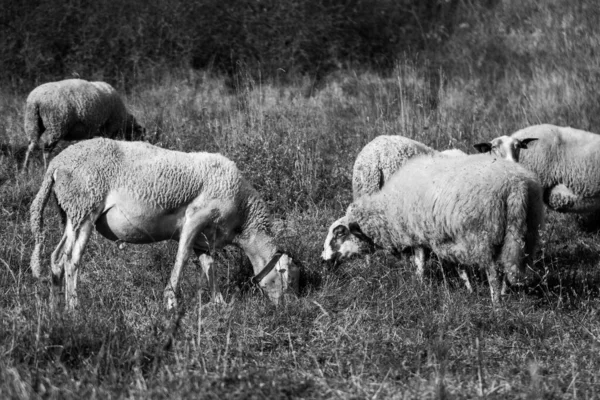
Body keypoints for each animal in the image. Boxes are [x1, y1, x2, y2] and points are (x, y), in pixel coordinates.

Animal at [29, 138, 298, 310]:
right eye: (283, 273)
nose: (283, 309)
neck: (243, 219)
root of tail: (56, 163)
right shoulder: (196, 217)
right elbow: (182, 257)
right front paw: (170, 302)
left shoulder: (205, 239)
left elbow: (209, 267)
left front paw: (219, 303)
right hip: (85, 207)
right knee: (71, 260)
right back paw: (74, 308)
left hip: (70, 213)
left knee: (56, 259)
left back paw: (55, 310)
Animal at [322, 155, 548, 304]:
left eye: (338, 235)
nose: (323, 260)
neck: (387, 210)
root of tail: (515, 185)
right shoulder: (450, 238)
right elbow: (460, 267)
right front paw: (469, 289)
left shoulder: (419, 235)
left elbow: (420, 262)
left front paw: (419, 285)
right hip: (525, 233)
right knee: (509, 264)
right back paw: (503, 294)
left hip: (484, 235)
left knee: (493, 272)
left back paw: (496, 304)